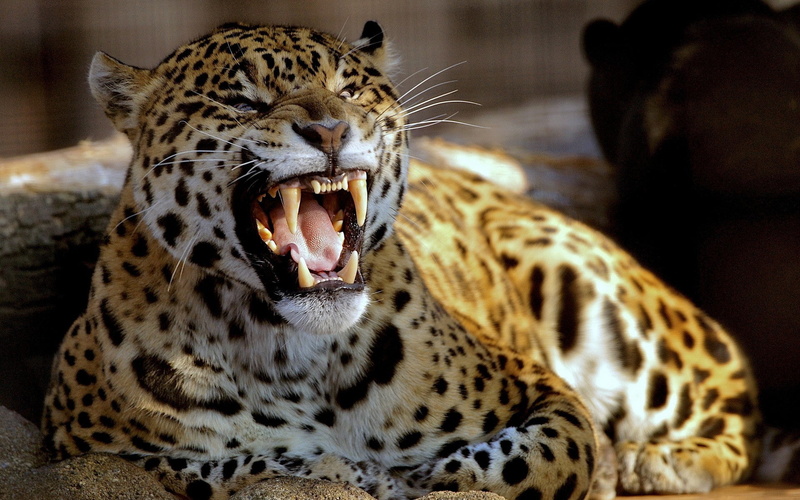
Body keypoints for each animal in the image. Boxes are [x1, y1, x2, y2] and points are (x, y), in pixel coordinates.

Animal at [41, 21, 772, 500]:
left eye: (349, 91)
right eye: (244, 100)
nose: (330, 129)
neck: (287, 352)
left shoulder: (546, 390)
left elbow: (544, 458)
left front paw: (431, 474)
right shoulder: (84, 444)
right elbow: (232, 467)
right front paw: (349, 472)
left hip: (590, 288)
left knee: (735, 398)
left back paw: (656, 460)